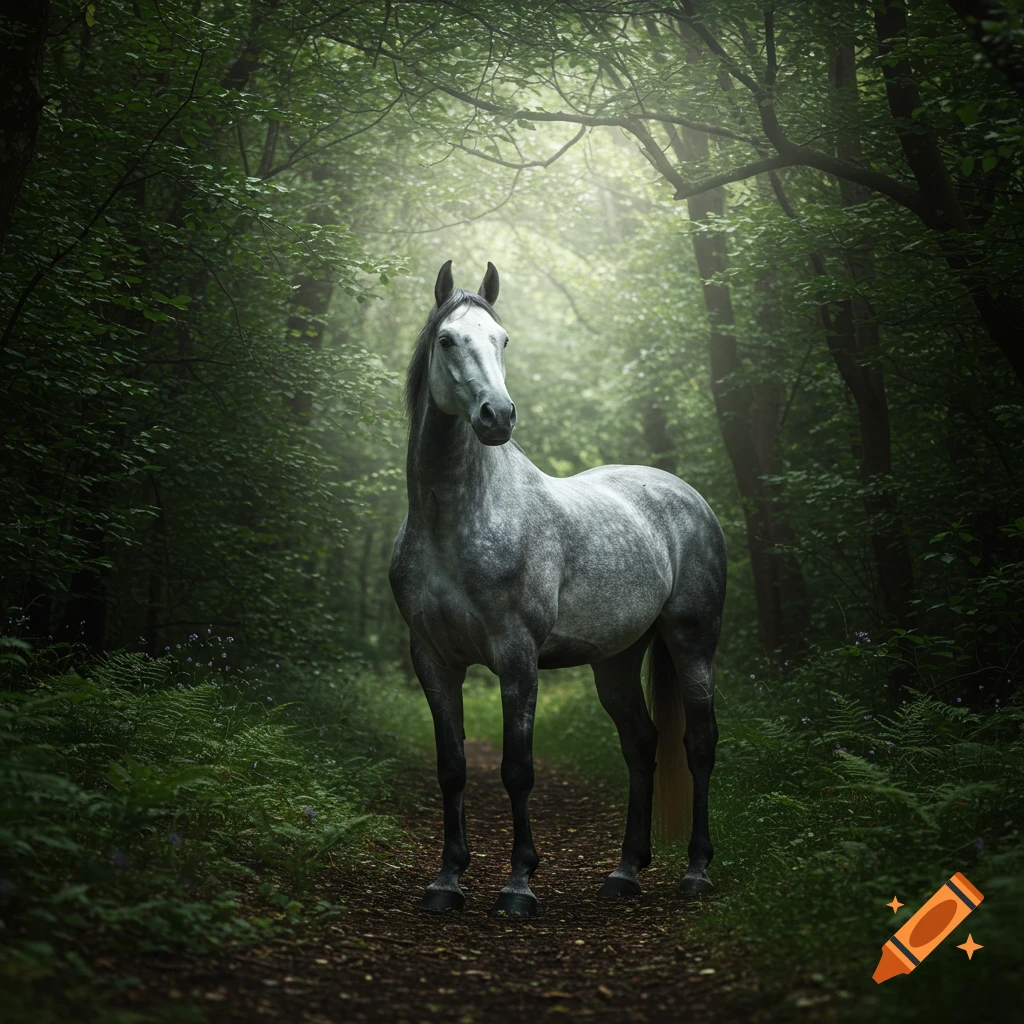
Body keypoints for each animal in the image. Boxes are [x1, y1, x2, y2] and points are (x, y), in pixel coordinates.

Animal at [389, 260, 727, 917]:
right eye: (447, 340)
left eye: (503, 339)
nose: (497, 416)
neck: (455, 521)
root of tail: (688, 496)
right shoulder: (433, 659)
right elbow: (452, 767)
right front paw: (447, 880)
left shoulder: (518, 657)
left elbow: (517, 769)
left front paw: (519, 883)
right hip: (617, 659)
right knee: (641, 744)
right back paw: (625, 871)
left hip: (691, 643)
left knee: (698, 742)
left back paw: (697, 870)